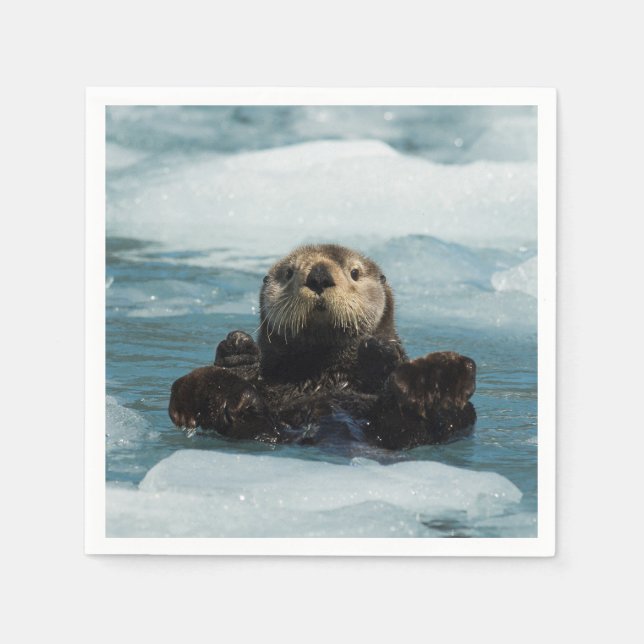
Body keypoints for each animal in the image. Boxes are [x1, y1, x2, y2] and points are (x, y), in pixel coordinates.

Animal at [169, 244, 476, 449]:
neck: (325, 375)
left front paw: (378, 350)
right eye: (289, 272)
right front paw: (238, 350)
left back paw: (433, 381)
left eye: (354, 272)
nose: (318, 276)